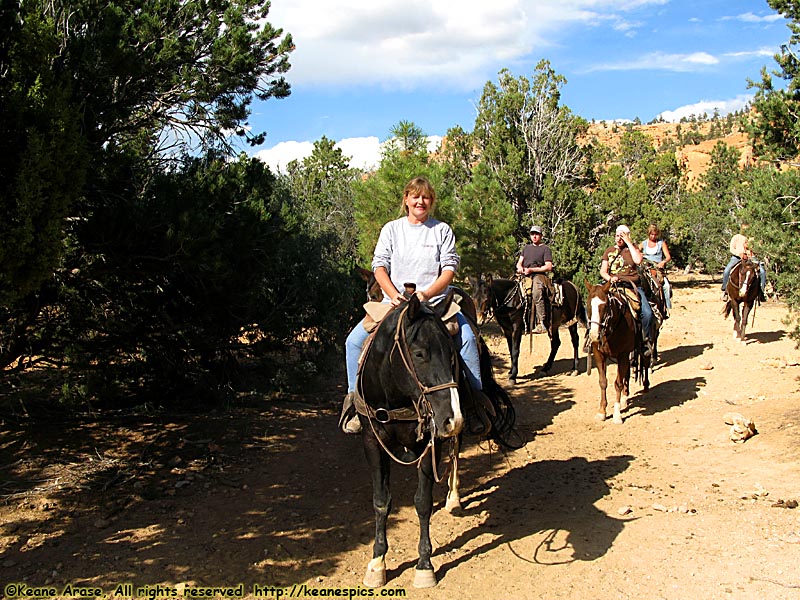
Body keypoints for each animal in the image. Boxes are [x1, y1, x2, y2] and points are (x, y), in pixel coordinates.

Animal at [584, 284, 652, 424]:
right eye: (588, 305)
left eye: (605, 306)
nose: (593, 335)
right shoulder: (599, 354)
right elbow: (603, 382)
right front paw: (602, 412)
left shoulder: (622, 354)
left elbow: (618, 383)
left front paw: (617, 415)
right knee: (627, 372)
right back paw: (625, 398)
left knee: (646, 361)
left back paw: (646, 386)